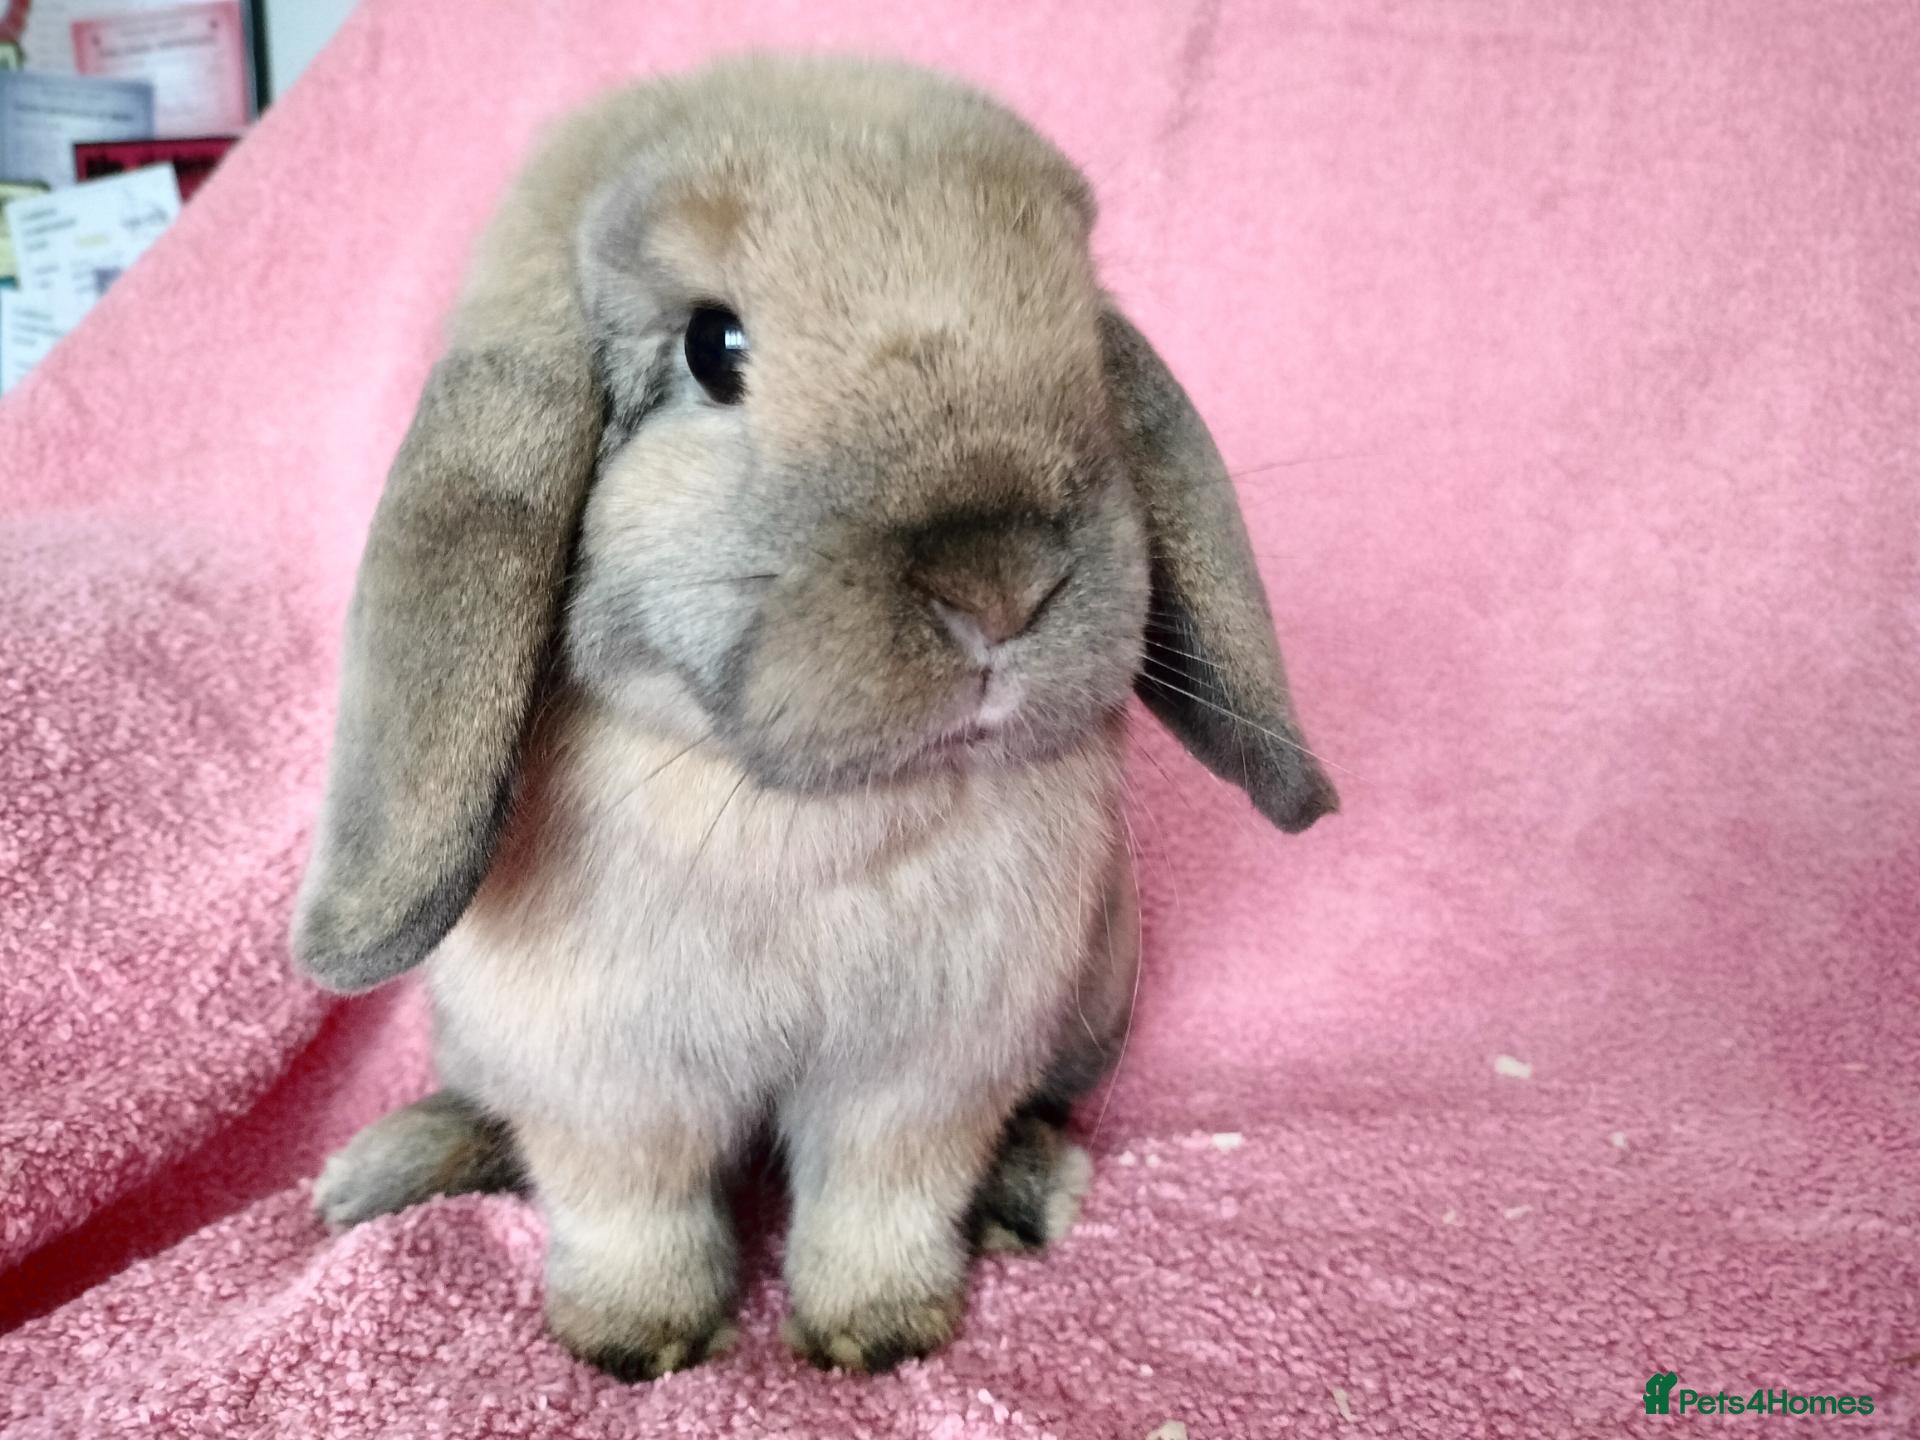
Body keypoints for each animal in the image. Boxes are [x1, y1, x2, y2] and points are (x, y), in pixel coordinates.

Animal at [293, 54, 1337, 1381]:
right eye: (713, 348)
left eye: (1080, 335)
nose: (999, 583)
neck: (799, 811)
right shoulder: (608, 1088)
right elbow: (629, 1209)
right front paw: (633, 1344)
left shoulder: (923, 1077)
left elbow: (880, 1198)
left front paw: (876, 1338)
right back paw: (373, 1174)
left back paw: (1031, 1190)